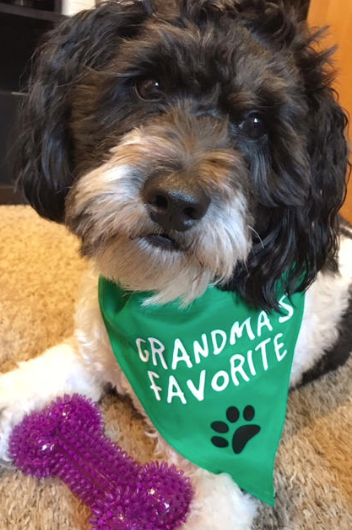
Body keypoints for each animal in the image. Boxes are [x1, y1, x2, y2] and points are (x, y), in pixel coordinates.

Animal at [0, 1, 352, 524]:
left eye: (255, 124)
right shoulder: (84, 357)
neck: (166, 296)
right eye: (151, 86)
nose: (176, 202)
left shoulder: (223, 475)